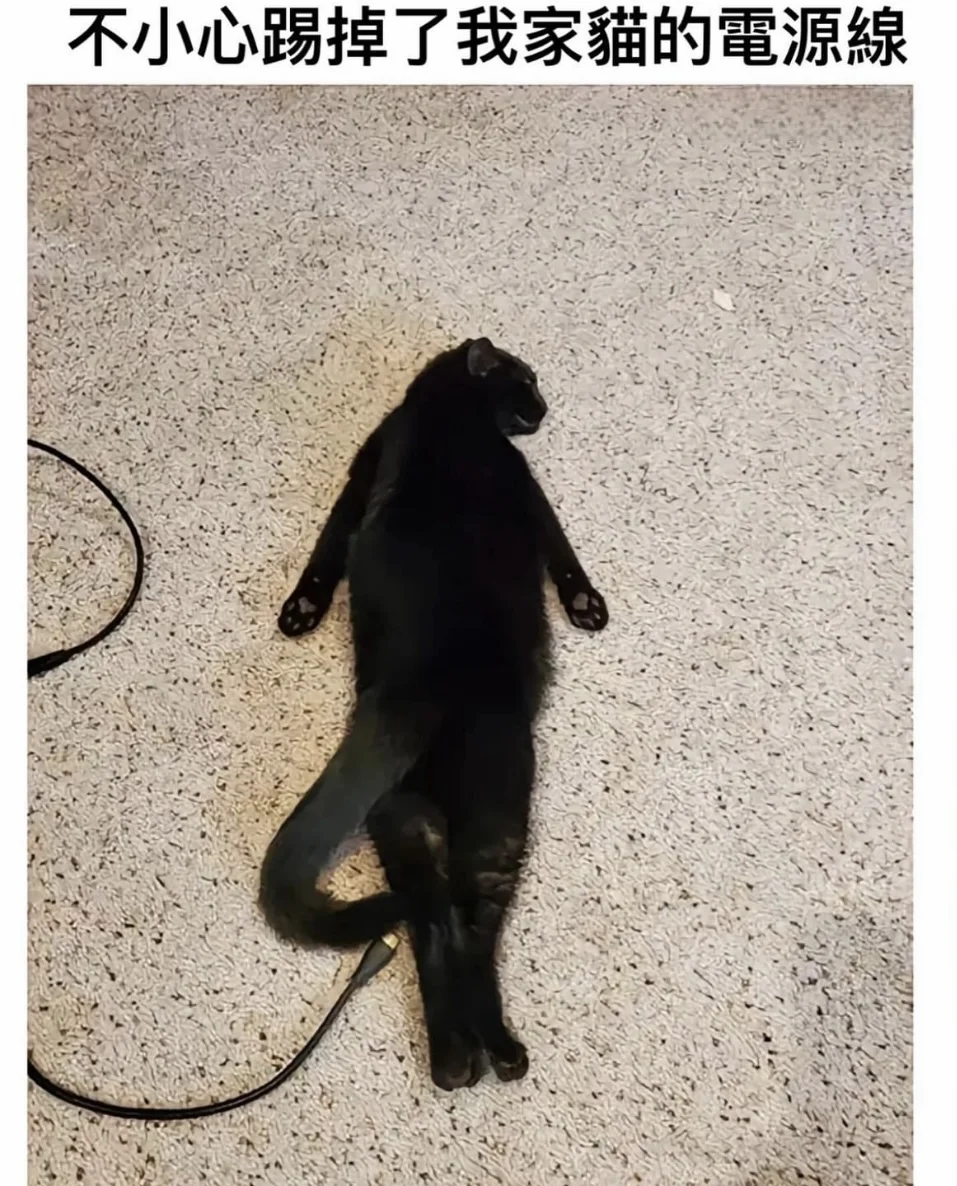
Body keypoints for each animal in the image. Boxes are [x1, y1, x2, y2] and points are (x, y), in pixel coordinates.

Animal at [260, 337, 608, 1089]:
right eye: (526, 379)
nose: (545, 406)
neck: (435, 412)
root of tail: (415, 681)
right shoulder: (523, 485)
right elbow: (560, 545)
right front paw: (585, 603)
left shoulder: (361, 470)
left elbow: (330, 540)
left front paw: (304, 607)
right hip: (497, 815)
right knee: (471, 924)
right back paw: (496, 1050)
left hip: (402, 820)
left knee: (429, 924)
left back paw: (451, 1058)